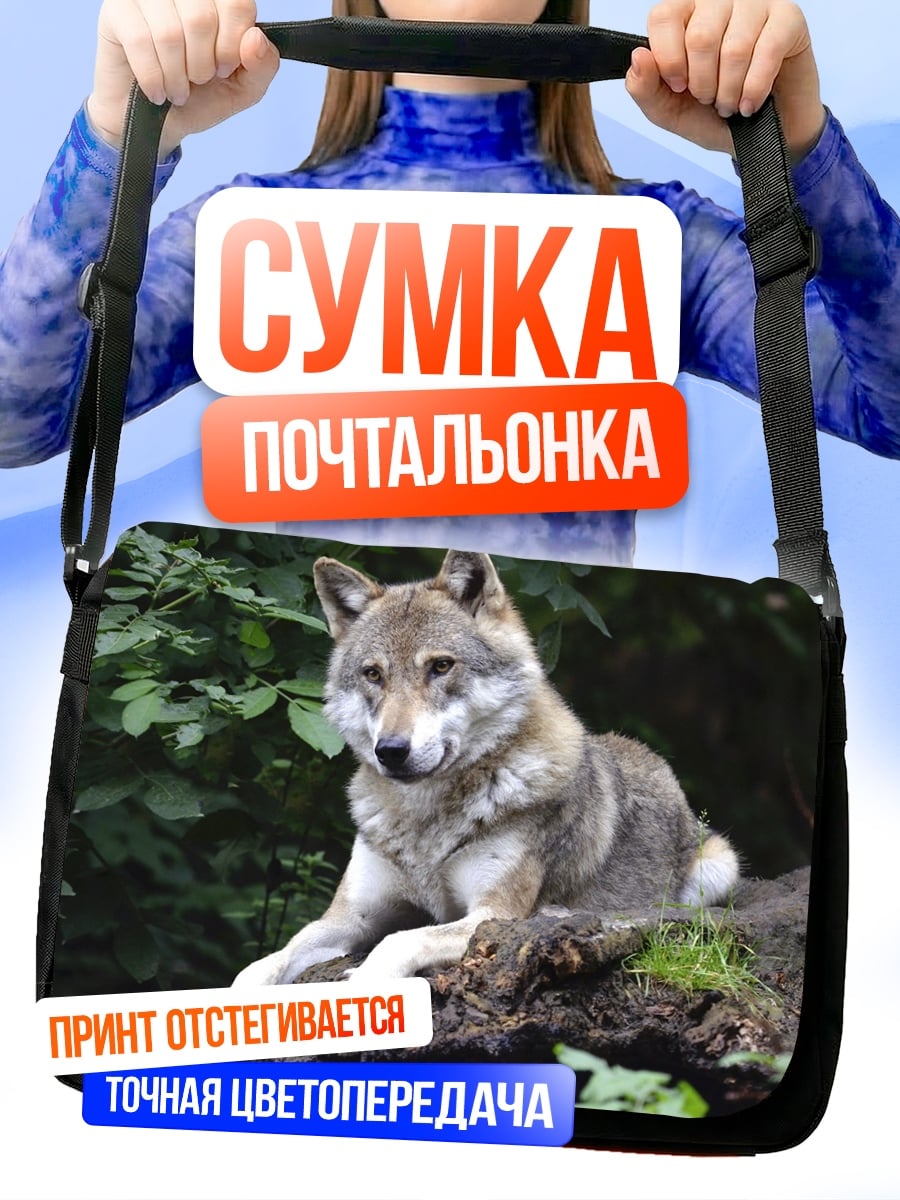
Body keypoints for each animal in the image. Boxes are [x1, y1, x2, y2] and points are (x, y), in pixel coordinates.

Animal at [233, 550, 739, 986]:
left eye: (440, 667)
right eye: (373, 674)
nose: (390, 750)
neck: (425, 822)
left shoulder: (494, 915)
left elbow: (399, 941)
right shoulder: (349, 917)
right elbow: (266, 961)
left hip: (718, 869)